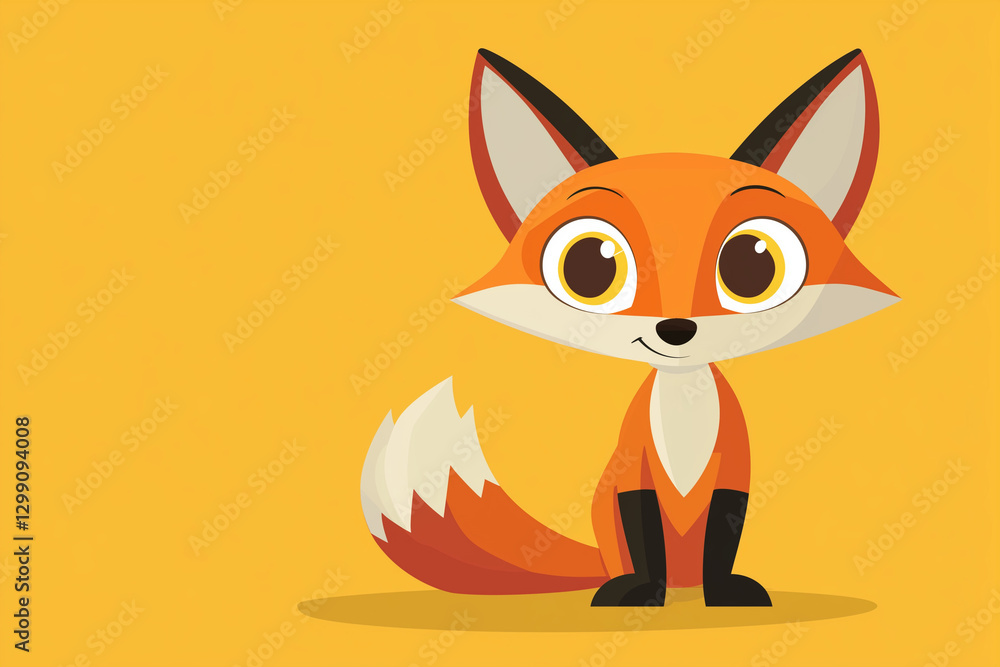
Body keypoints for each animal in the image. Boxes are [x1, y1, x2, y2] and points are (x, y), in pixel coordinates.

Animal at [360, 48, 897, 607]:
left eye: (752, 264)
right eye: (588, 266)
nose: (677, 330)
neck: (684, 408)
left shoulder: (734, 473)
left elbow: (723, 535)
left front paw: (725, 591)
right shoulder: (633, 474)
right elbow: (645, 533)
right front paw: (644, 594)